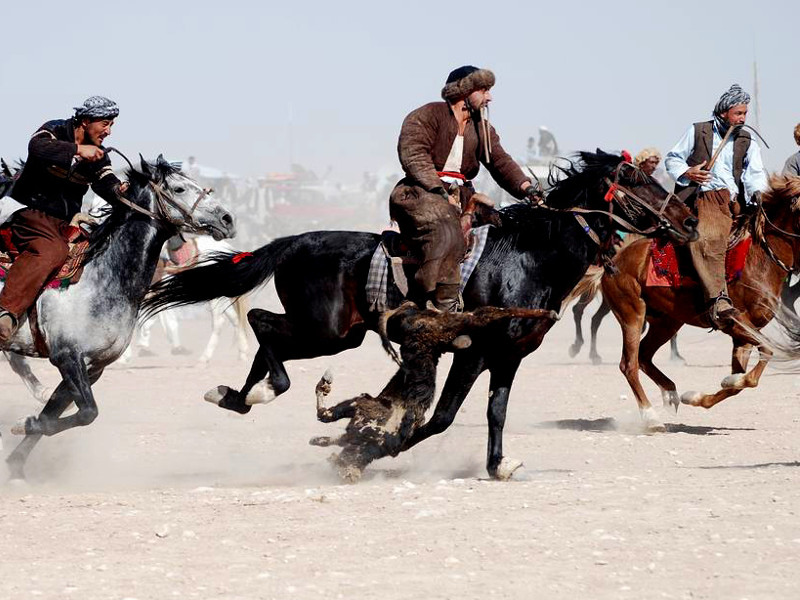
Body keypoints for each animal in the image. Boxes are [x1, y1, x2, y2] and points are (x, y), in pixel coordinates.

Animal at [1, 155, 234, 478]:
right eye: (179, 188)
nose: (227, 218)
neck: (101, 277)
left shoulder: (92, 366)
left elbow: (52, 414)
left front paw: (16, 465)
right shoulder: (67, 356)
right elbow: (87, 412)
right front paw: (23, 426)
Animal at [144, 152, 700, 480]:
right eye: (636, 178)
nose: (690, 220)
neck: (528, 255)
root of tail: (296, 241)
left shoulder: (508, 356)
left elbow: (494, 412)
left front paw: (497, 465)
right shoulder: (472, 353)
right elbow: (441, 416)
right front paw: (367, 448)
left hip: (338, 333)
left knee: (265, 329)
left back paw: (236, 396)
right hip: (326, 330)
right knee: (261, 322)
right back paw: (255, 392)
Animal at [580, 173, 800, 432]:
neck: (761, 259)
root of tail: (612, 261)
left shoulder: (742, 334)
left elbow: (742, 382)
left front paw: (702, 393)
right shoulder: (736, 321)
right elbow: (766, 351)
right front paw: (728, 380)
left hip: (667, 322)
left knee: (644, 356)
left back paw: (671, 393)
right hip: (632, 314)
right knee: (629, 364)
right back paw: (651, 418)